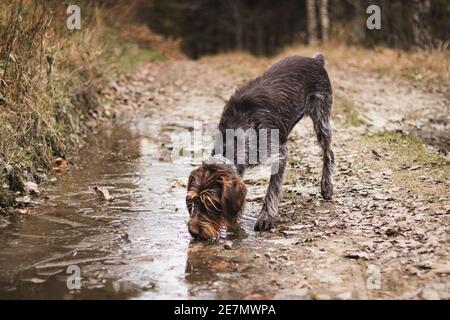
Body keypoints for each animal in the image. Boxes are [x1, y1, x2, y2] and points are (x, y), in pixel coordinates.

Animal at [186, 53, 334, 240]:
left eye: (212, 204)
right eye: (193, 201)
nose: (194, 232)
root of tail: (314, 59)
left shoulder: (280, 153)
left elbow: (272, 189)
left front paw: (266, 218)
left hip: (321, 117)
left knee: (329, 153)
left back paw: (327, 186)